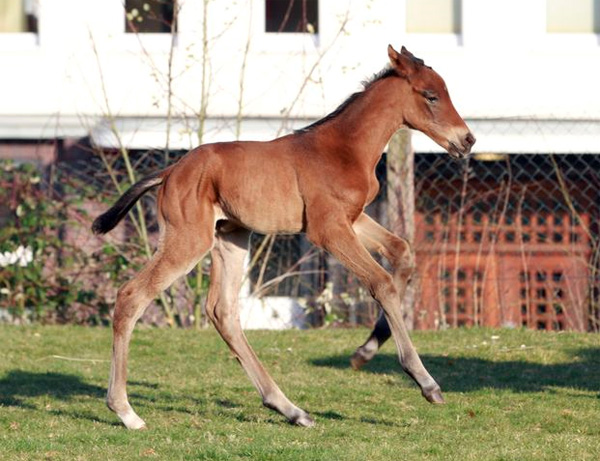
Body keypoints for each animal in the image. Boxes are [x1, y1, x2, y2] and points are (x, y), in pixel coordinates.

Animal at [94, 45, 476, 430]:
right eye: (431, 96)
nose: (467, 140)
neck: (344, 148)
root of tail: (172, 171)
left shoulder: (352, 220)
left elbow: (402, 253)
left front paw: (364, 352)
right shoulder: (328, 229)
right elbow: (380, 281)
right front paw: (425, 382)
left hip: (231, 238)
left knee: (222, 311)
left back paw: (290, 409)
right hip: (188, 240)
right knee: (132, 296)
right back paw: (126, 411)